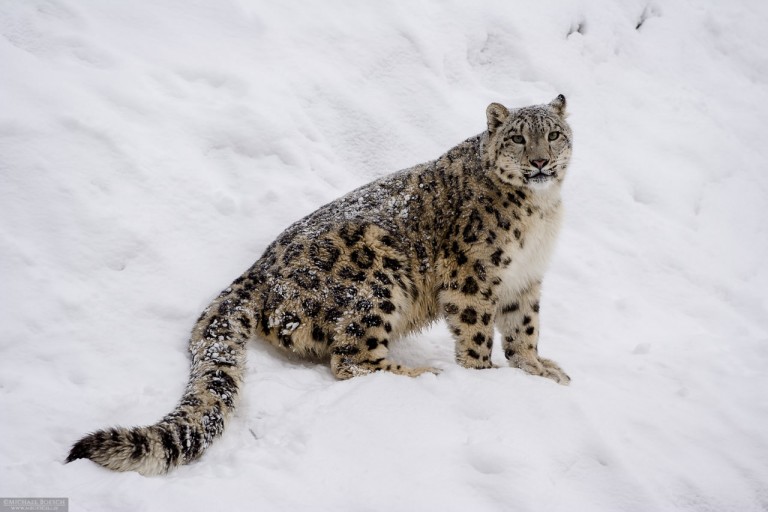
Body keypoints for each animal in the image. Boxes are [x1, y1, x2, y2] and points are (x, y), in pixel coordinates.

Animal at [66, 96, 572, 476]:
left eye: (553, 134)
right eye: (517, 137)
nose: (540, 161)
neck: (539, 214)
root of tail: (258, 269)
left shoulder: (525, 279)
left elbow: (524, 329)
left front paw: (539, 370)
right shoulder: (474, 275)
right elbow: (476, 332)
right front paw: (484, 378)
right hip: (378, 279)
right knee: (351, 357)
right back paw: (420, 374)